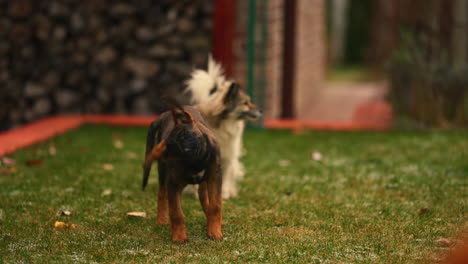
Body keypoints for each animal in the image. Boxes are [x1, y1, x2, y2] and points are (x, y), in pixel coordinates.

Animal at [143, 104, 223, 242]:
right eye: (171, 147)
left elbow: (215, 206)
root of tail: (163, 115)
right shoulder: (173, 184)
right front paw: (179, 237)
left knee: (203, 197)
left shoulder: (215, 178)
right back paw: (161, 219)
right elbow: (176, 213)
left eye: (185, 135)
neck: (196, 162)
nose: (185, 147)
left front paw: (214, 231)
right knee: (162, 194)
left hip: (203, 182)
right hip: (163, 174)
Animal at [185, 56, 262, 199]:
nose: (261, 110)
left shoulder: (227, 158)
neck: (224, 124)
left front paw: (224, 195)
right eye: (245, 103)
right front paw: (199, 195)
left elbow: (225, 177)